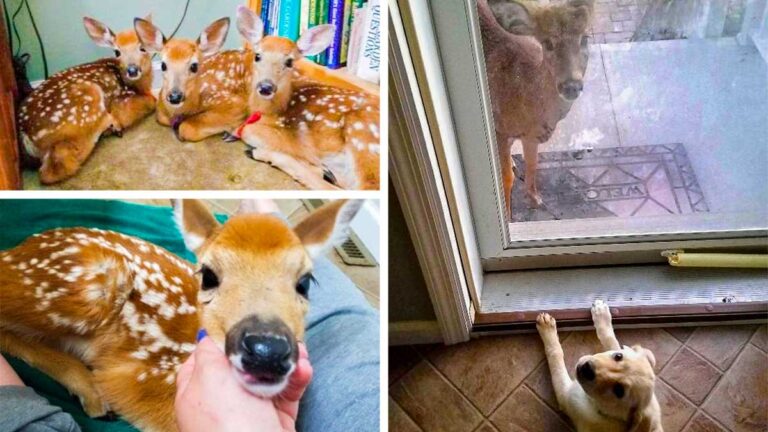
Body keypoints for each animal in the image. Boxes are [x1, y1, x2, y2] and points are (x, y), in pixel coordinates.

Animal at [0, 199, 362, 432]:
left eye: (305, 282)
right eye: (209, 275)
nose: (267, 350)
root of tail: (12, 253)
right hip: (89, 283)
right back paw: (93, 394)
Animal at [17, 16, 156, 184]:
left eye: (142, 48)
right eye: (117, 51)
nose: (132, 70)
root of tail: (25, 132)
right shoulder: (122, 98)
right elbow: (150, 102)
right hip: (87, 104)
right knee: (55, 167)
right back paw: (111, 129)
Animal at [231, 6, 381, 191]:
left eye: (289, 62)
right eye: (257, 56)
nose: (266, 87)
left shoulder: (288, 137)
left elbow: (248, 131)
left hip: (362, 135)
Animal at [479, 0, 593, 217]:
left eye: (585, 39)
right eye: (548, 43)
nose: (571, 86)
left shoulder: (531, 136)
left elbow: (533, 164)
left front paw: (535, 198)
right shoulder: (499, 128)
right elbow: (506, 177)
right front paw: (509, 216)